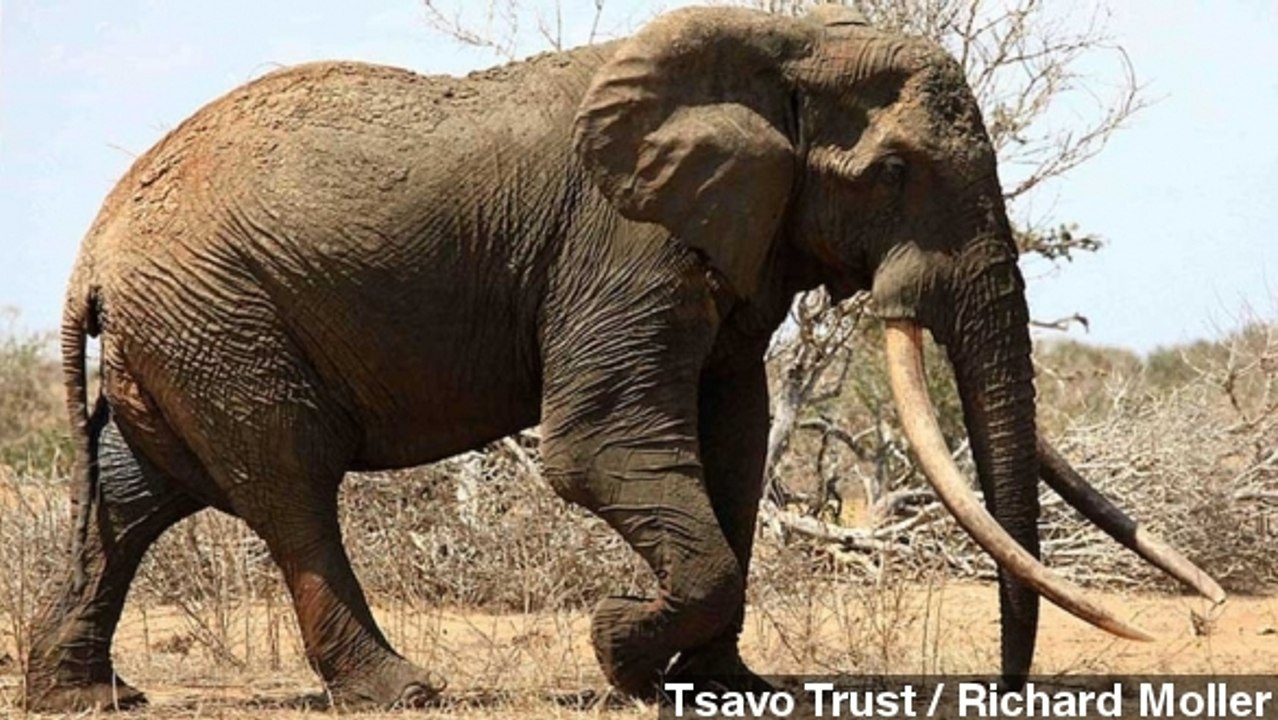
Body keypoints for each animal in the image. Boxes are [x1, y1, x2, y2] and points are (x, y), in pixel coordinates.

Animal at [26, 5, 1224, 712]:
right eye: (892, 175)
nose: (1008, 689)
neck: (780, 39)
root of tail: (90, 253)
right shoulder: (620, 239)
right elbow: (601, 448)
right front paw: (615, 652)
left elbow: (733, 438)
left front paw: (732, 685)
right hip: (220, 319)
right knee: (288, 484)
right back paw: (407, 691)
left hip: (180, 334)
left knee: (136, 492)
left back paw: (86, 698)